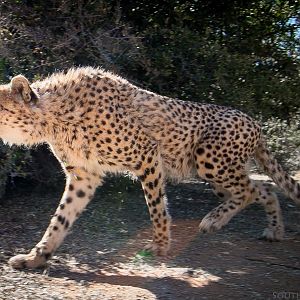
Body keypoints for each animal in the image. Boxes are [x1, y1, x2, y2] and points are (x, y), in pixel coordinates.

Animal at [0, 67, 298, 268]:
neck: (53, 114)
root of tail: (254, 121)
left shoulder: (147, 155)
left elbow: (156, 207)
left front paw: (160, 245)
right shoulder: (84, 175)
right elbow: (60, 219)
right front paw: (36, 256)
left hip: (209, 161)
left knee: (250, 190)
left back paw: (214, 220)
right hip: (217, 177)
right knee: (263, 189)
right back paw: (274, 230)